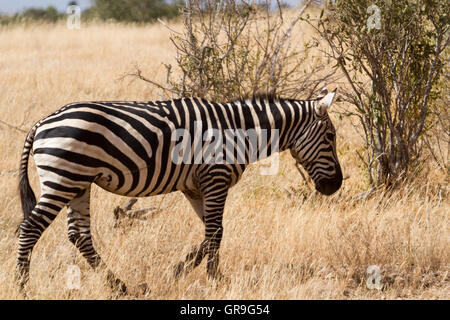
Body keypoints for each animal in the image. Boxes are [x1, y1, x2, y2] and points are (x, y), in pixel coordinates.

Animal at [15, 87, 342, 292]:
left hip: (79, 182)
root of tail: (41, 122)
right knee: (30, 228)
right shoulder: (216, 177)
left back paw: (119, 286)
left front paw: (188, 271)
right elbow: (214, 232)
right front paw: (210, 278)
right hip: (64, 178)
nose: (336, 185)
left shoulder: (196, 187)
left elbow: (213, 232)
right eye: (330, 136)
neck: (239, 131)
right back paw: (22, 285)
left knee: (79, 235)